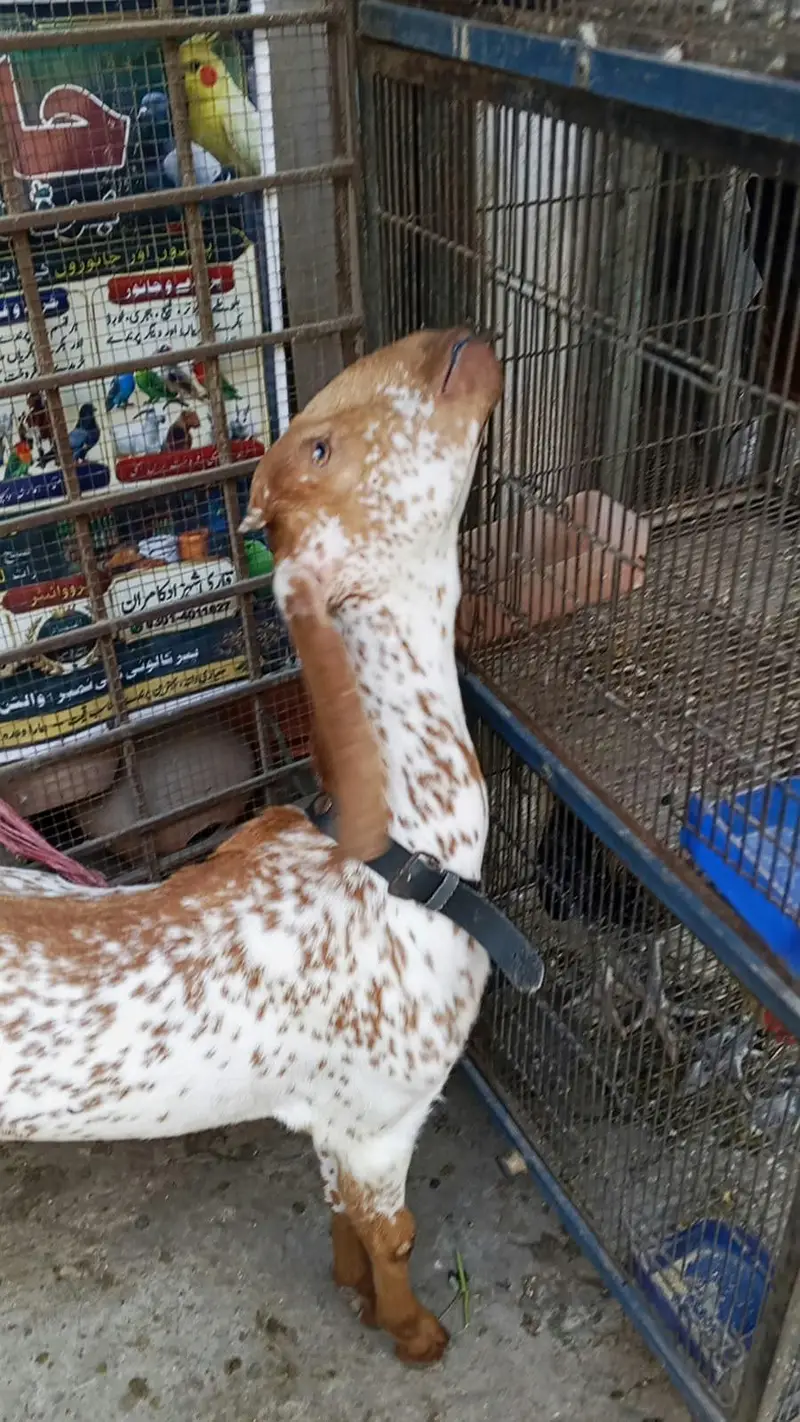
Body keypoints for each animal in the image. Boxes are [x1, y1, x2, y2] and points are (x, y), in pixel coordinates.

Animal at [0, 329, 503, 1365]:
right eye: (319, 448)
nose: (448, 339)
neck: (401, 857)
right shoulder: (387, 1115)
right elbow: (396, 1235)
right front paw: (414, 1333)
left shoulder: (334, 1119)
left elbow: (341, 1216)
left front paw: (352, 1292)